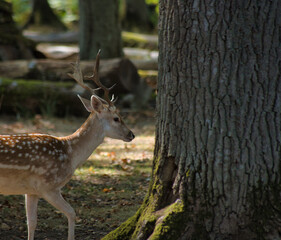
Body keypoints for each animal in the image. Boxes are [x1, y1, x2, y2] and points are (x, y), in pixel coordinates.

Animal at [0, 49, 135, 239]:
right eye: (116, 118)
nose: (132, 134)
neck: (70, 153)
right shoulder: (48, 185)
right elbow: (72, 212)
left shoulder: (31, 191)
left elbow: (31, 223)